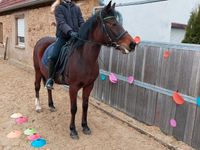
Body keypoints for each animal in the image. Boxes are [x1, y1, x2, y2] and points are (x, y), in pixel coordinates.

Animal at [33, 1, 136, 139]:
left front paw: (85, 126)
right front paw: (73, 130)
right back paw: (38, 107)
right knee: (37, 86)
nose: (132, 44)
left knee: (48, 88)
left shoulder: (89, 86)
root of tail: (41, 40)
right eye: (112, 24)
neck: (84, 57)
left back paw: (51, 105)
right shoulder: (73, 87)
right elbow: (74, 108)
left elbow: (85, 106)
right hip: (37, 71)